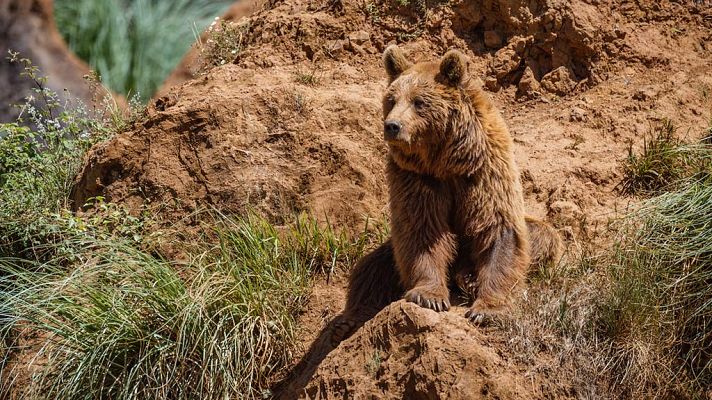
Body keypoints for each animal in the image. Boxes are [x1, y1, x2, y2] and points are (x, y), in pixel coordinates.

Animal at [332, 43, 560, 342]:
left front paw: (487, 309)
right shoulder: (416, 178)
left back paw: (469, 278)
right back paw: (348, 320)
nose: (392, 126)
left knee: (543, 234)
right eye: (391, 99)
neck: (444, 161)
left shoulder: (483, 171)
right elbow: (422, 231)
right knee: (371, 267)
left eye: (419, 101)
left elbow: (498, 229)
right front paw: (429, 296)